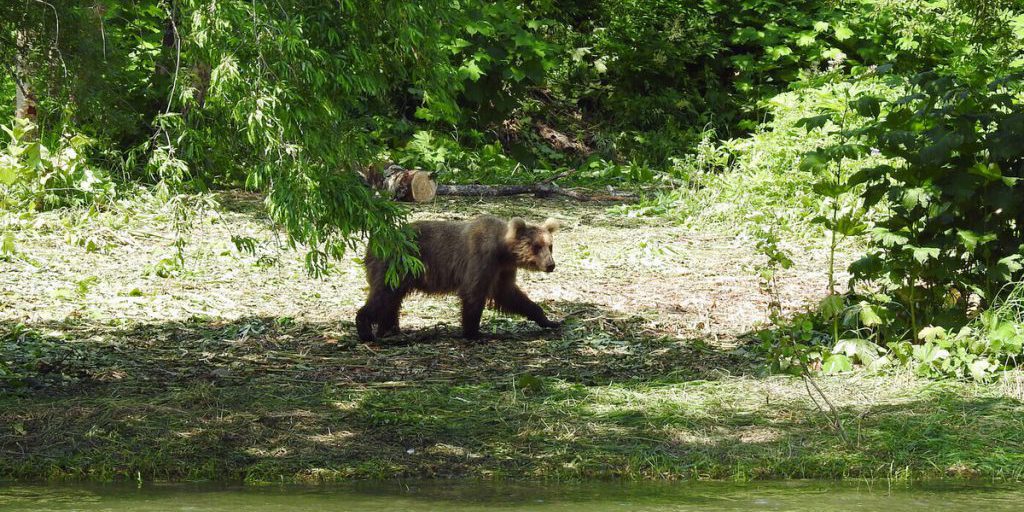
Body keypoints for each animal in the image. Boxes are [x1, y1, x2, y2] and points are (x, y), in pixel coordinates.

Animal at [355, 215, 562, 341]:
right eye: (536, 246)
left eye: (550, 246)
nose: (551, 265)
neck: (503, 252)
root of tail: (372, 244)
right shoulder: (481, 258)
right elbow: (473, 293)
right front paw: (474, 332)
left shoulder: (502, 270)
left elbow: (510, 295)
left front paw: (549, 320)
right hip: (396, 266)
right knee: (383, 295)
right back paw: (366, 329)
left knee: (392, 300)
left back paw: (389, 329)